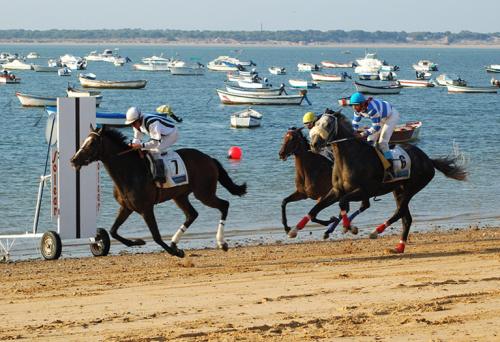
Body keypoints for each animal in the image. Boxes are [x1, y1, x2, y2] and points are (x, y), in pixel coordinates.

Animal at [70, 127, 246, 258]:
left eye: (92, 143)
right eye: (84, 141)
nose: (73, 160)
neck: (129, 171)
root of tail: (209, 159)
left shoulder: (146, 208)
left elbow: (156, 236)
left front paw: (176, 252)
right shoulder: (126, 207)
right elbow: (113, 231)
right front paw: (137, 241)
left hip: (204, 193)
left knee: (224, 205)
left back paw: (221, 242)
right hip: (180, 196)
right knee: (192, 214)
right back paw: (174, 241)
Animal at [304, 111, 468, 252]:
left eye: (328, 125)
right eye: (315, 123)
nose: (314, 144)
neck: (351, 157)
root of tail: (428, 160)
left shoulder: (364, 190)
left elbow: (343, 203)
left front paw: (349, 227)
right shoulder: (337, 190)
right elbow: (316, 209)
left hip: (412, 188)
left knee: (400, 212)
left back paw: (376, 231)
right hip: (398, 190)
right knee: (406, 218)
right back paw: (399, 247)